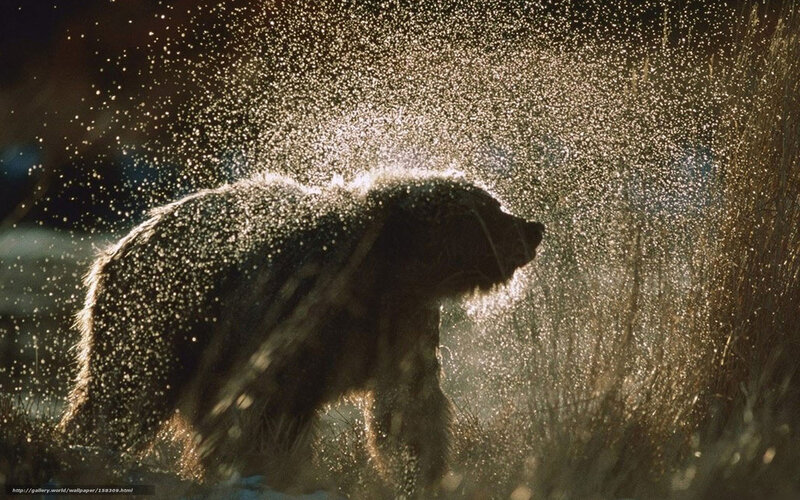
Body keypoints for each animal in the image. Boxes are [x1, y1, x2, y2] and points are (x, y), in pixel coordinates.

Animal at [57, 170, 544, 495]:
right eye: (492, 209)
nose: (534, 228)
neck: (389, 267)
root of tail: (113, 250)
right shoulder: (295, 309)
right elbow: (270, 405)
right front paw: (267, 469)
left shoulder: (404, 320)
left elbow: (408, 404)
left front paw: (424, 473)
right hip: (159, 318)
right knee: (124, 394)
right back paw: (88, 450)